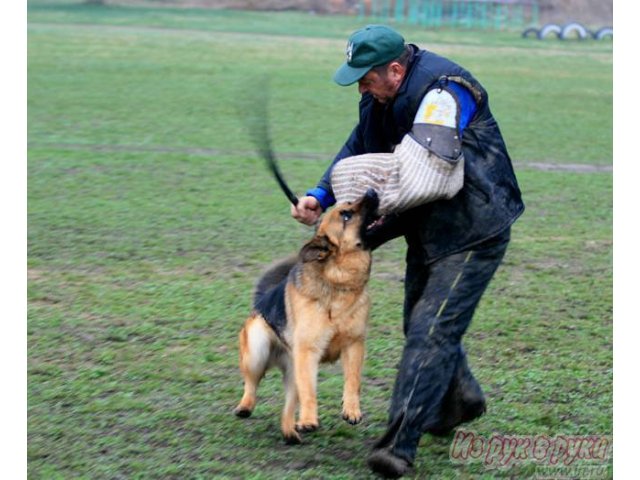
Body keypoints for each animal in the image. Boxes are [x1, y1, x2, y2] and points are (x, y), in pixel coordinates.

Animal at [234, 189, 378, 444]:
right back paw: (247, 406)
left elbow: (353, 380)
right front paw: (310, 420)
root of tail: (260, 302)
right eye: (346, 214)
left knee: (288, 406)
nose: (372, 191)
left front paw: (351, 410)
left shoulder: (354, 345)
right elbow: (310, 391)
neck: (338, 282)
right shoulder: (308, 352)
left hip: (292, 372)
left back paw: (291, 432)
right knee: (252, 382)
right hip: (258, 350)